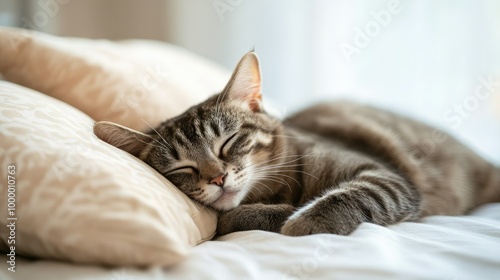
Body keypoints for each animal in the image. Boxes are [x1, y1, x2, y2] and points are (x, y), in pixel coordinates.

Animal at [94, 52, 500, 236]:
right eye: (182, 168)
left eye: (229, 142)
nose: (217, 178)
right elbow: (239, 216)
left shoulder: (387, 177)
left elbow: (348, 196)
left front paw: (303, 221)